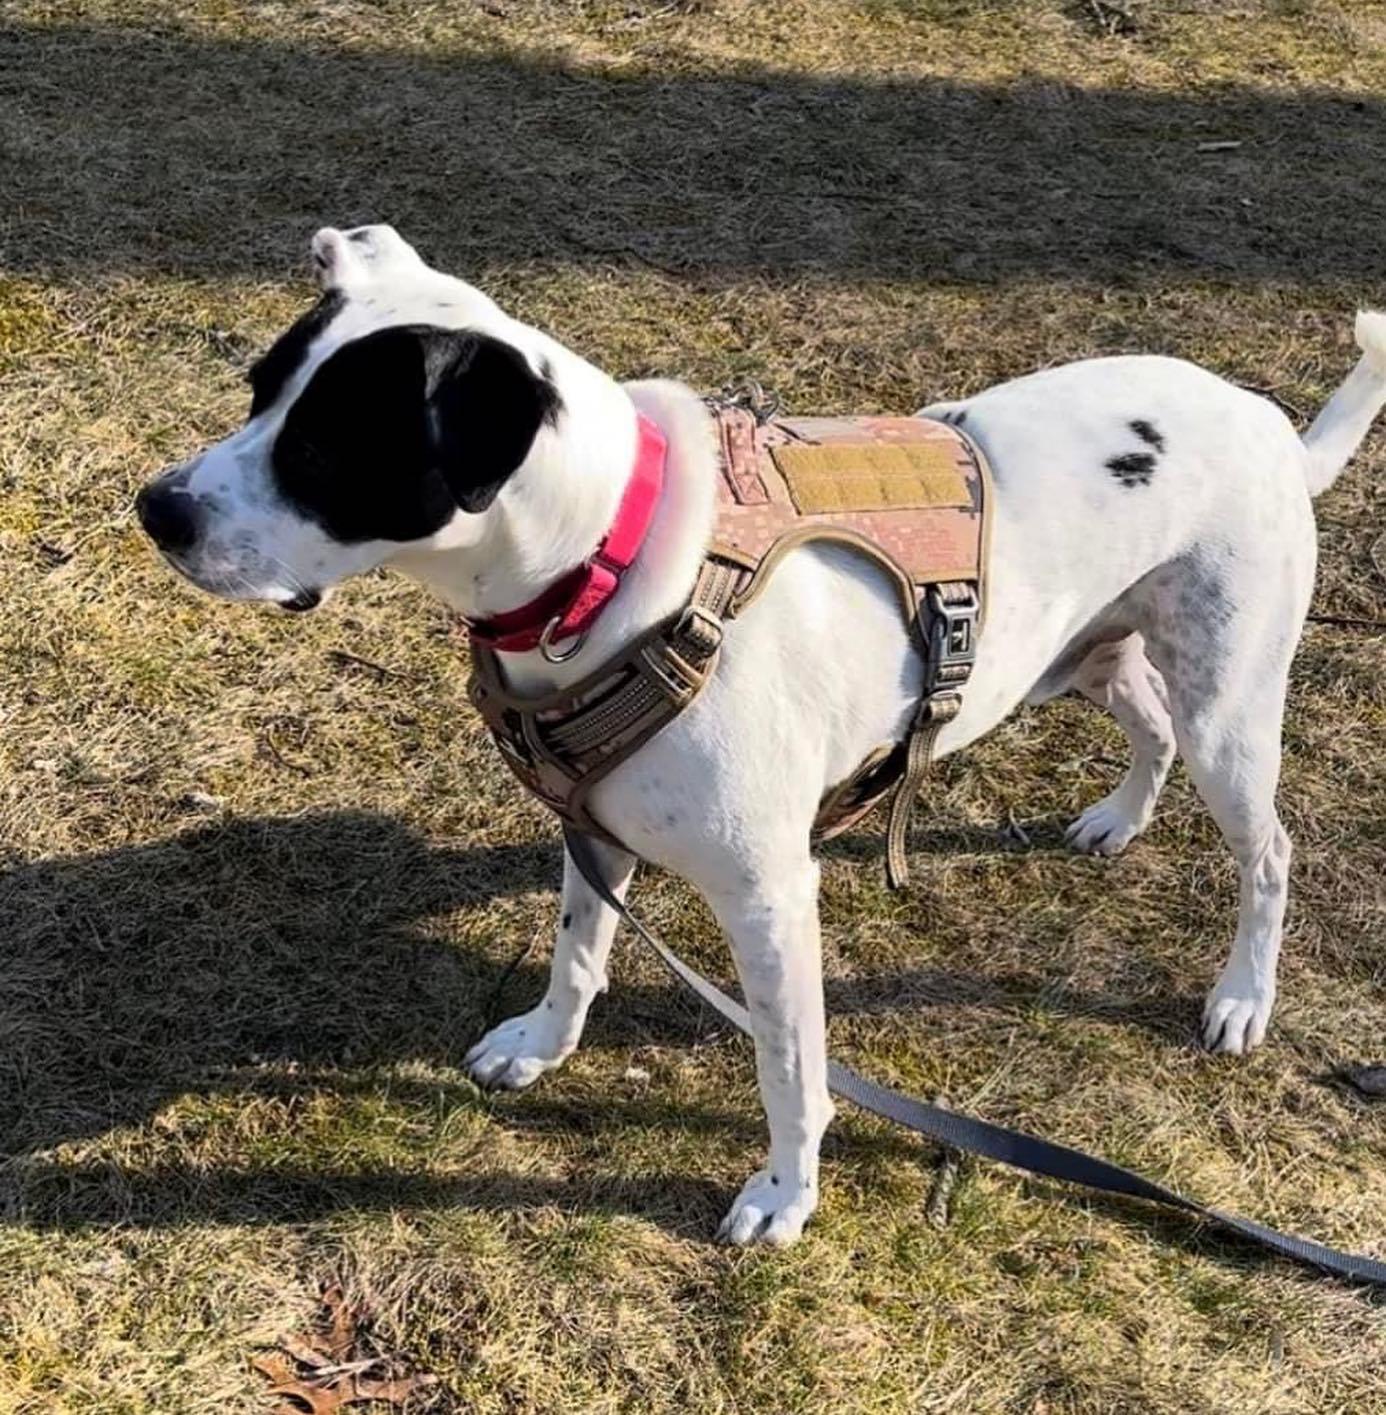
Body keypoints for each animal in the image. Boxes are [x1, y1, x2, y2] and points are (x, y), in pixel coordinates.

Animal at [137, 226, 1386, 1245]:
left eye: (327, 449)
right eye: (257, 392)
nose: (157, 508)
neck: (611, 562)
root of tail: (1269, 423)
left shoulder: (770, 897)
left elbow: (790, 1064)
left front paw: (786, 1194)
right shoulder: (593, 829)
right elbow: (578, 950)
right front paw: (541, 1045)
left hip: (1228, 704)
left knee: (1268, 850)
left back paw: (1240, 998)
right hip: (1084, 654)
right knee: (1149, 724)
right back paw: (1119, 817)